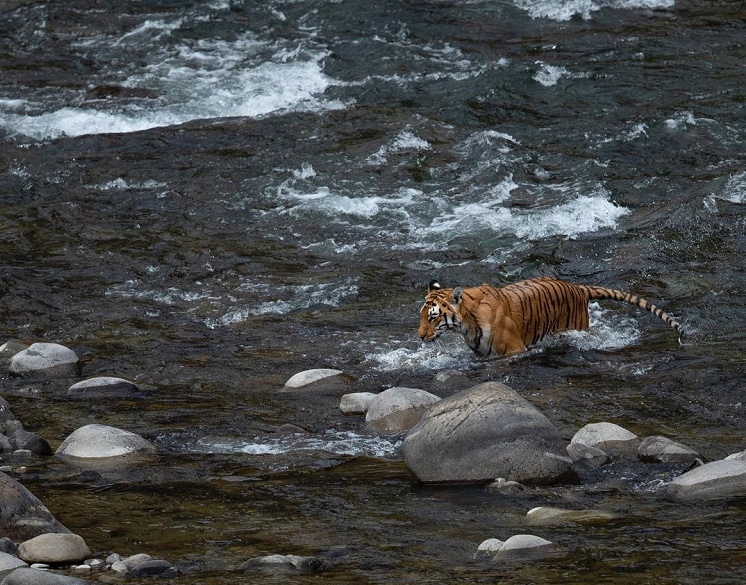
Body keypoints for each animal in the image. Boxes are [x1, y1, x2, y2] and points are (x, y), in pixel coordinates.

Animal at [418, 278, 680, 356]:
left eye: (433, 317)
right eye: (421, 316)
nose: (419, 336)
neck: (467, 325)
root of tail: (578, 287)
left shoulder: (513, 350)